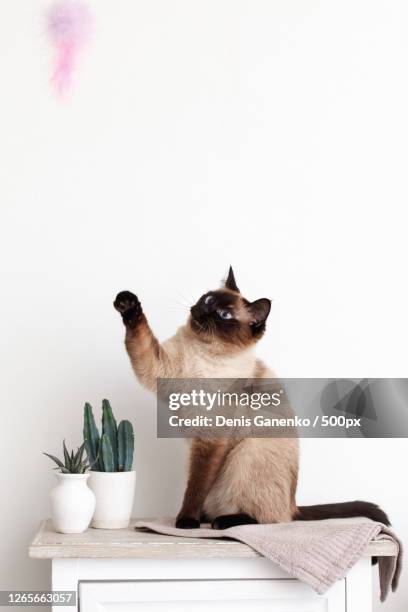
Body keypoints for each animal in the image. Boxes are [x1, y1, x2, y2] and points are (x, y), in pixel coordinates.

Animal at [114, 268, 388, 532]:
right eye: (208, 299)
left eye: (224, 315)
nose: (204, 310)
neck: (203, 353)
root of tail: (294, 506)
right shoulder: (157, 367)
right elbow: (140, 337)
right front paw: (127, 303)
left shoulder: (211, 438)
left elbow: (196, 487)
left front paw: (186, 521)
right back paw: (208, 517)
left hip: (247, 453)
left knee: (269, 519)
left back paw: (221, 521)